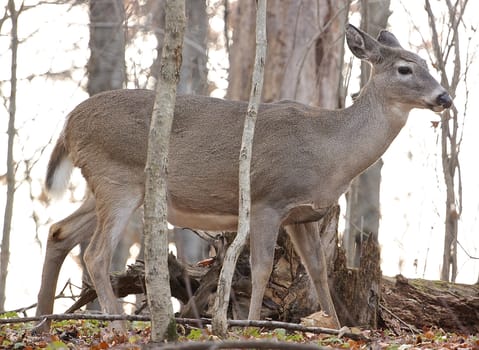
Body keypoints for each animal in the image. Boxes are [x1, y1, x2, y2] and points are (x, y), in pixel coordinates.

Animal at [40, 24, 450, 330]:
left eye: (427, 63)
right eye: (405, 69)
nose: (444, 97)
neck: (331, 150)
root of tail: (68, 123)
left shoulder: (303, 214)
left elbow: (318, 271)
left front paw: (336, 327)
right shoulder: (268, 199)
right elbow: (261, 267)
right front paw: (251, 324)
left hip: (101, 186)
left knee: (59, 232)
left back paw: (41, 322)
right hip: (117, 179)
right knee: (95, 254)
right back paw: (118, 325)